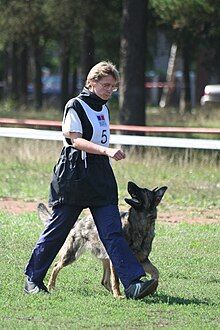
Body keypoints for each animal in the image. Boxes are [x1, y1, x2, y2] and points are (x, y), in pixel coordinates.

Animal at [37, 182, 167, 298]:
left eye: (144, 191)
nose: (129, 183)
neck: (139, 227)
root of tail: (79, 221)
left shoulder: (142, 260)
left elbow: (156, 272)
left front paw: (153, 287)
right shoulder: (118, 261)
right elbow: (116, 280)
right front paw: (118, 295)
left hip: (105, 258)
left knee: (104, 281)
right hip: (71, 255)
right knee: (56, 266)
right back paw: (51, 286)